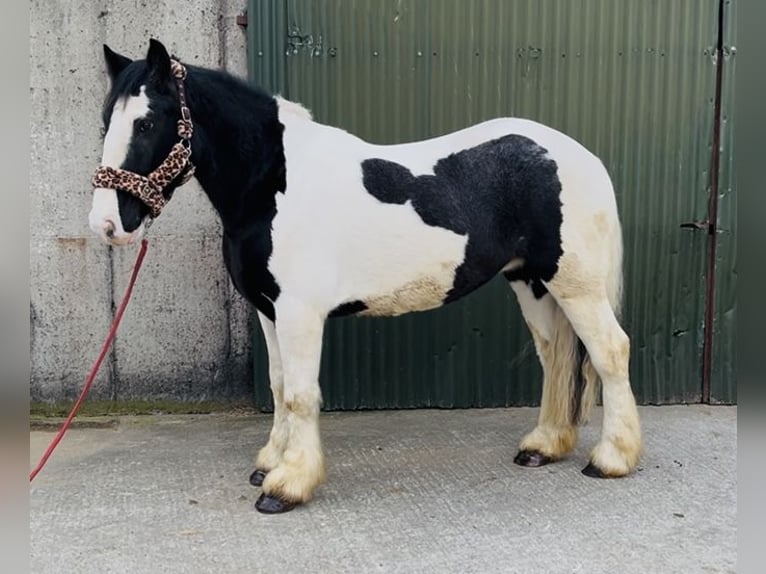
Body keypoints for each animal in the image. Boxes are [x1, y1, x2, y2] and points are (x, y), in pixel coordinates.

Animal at [88, 39, 642, 514]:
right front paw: (270, 463)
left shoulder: (299, 313)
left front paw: (288, 485)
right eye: (106, 121)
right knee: (555, 358)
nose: (107, 225)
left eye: (147, 122)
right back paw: (543, 446)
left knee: (610, 351)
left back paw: (612, 458)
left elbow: (300, 393)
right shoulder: (269, 310)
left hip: (575, 284)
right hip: (532, 282)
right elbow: (278, 385)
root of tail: (581, 156)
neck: (273, 185)